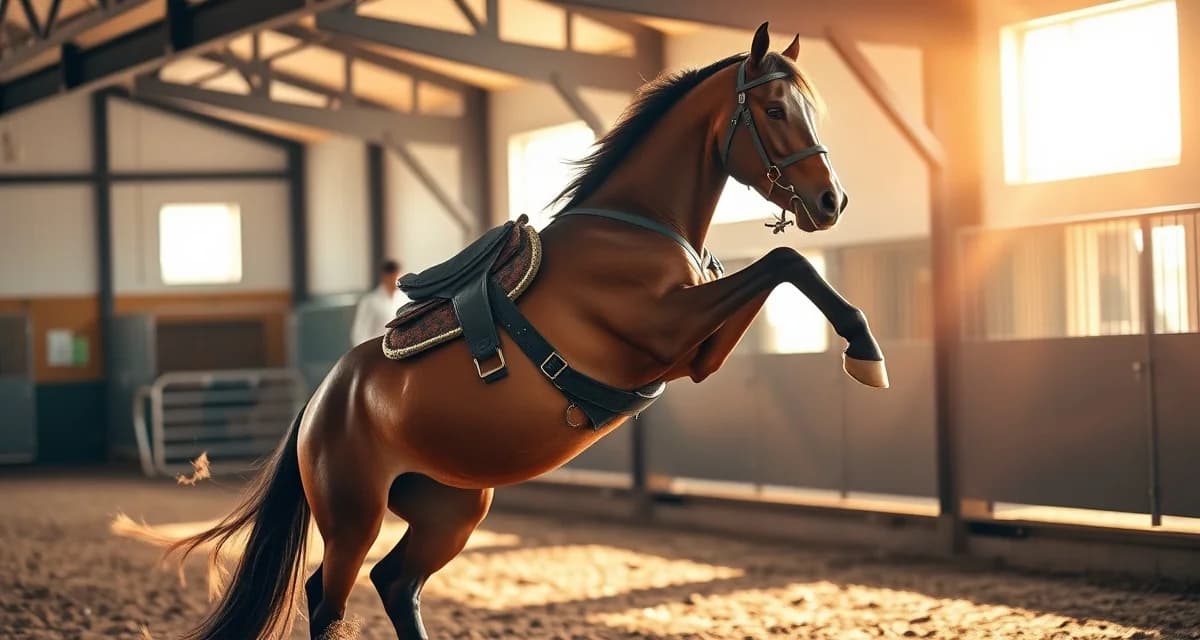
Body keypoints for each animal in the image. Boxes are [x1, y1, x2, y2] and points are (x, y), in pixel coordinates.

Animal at [161, 23, 887, 640]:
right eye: (775, 110)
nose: (832, 201)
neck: (635, 227)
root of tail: (320, 403)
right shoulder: (665, 331)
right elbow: (785, 261)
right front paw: (866, 353)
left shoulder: (697, 351)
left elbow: (782, 267)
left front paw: (863, 349)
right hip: (353, 517)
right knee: (327, 598)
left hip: (451, 509)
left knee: (395, 583)